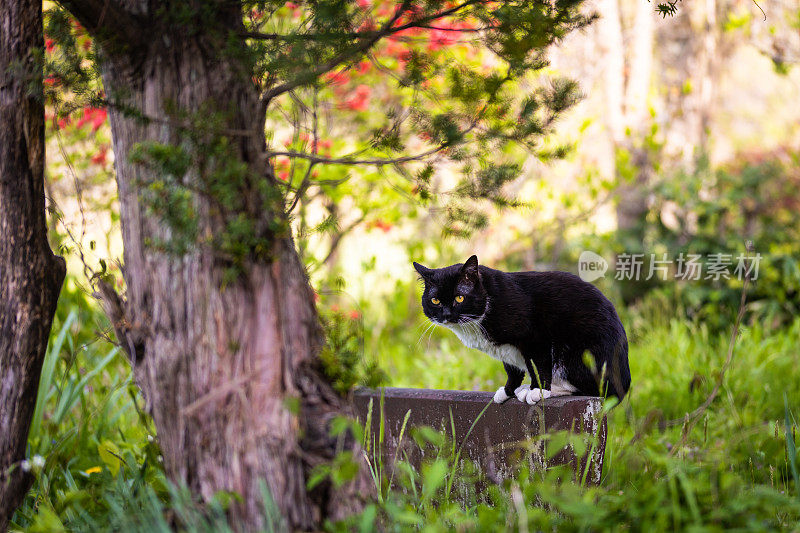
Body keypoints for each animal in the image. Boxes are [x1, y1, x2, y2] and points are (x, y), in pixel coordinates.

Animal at [412, 255, 632, 404]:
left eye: (459, 297)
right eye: (435, 300)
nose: (447, 315)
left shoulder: (536, 337)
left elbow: (539, 365)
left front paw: (539, 390)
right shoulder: (506, 349)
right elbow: (513, 369)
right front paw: (509, 390)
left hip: (579, 352)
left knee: (597, 390)